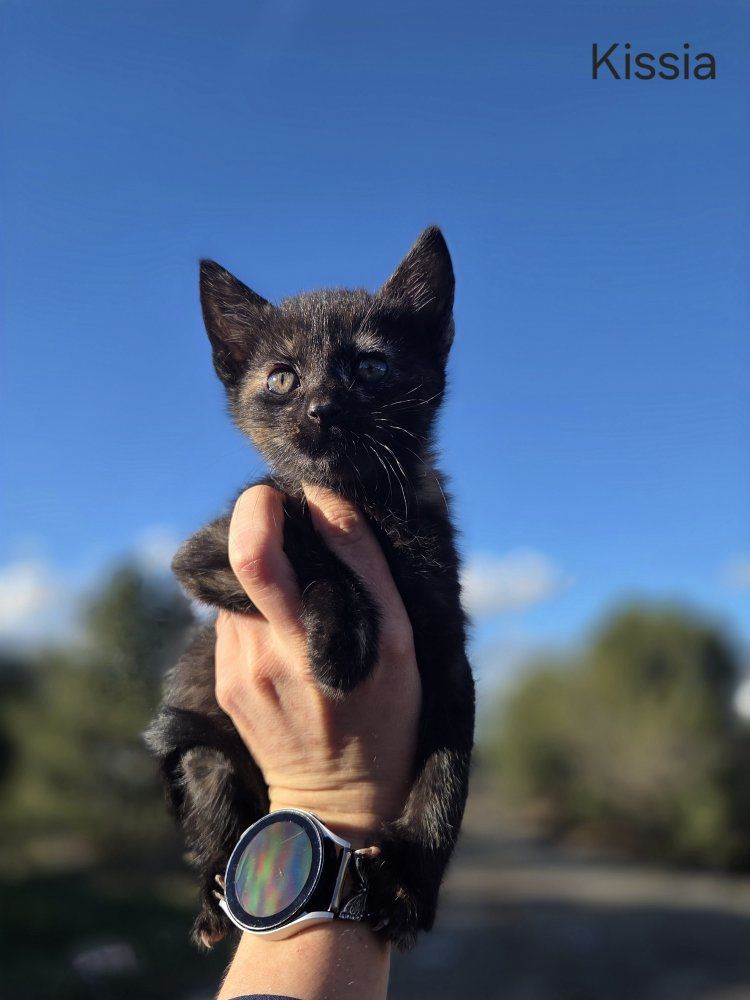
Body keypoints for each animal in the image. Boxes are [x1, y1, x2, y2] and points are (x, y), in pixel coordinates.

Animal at [145, 226, 475, 952]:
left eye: (371, 368)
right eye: (281, 379)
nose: (322, 407)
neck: (365, 502)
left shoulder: (448, 646)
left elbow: (450, 771)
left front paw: (414, 879)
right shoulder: (210, 549)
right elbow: (307, 537)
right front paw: (342, 643)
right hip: (205, 758)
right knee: (215, 825)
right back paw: (212, 902)